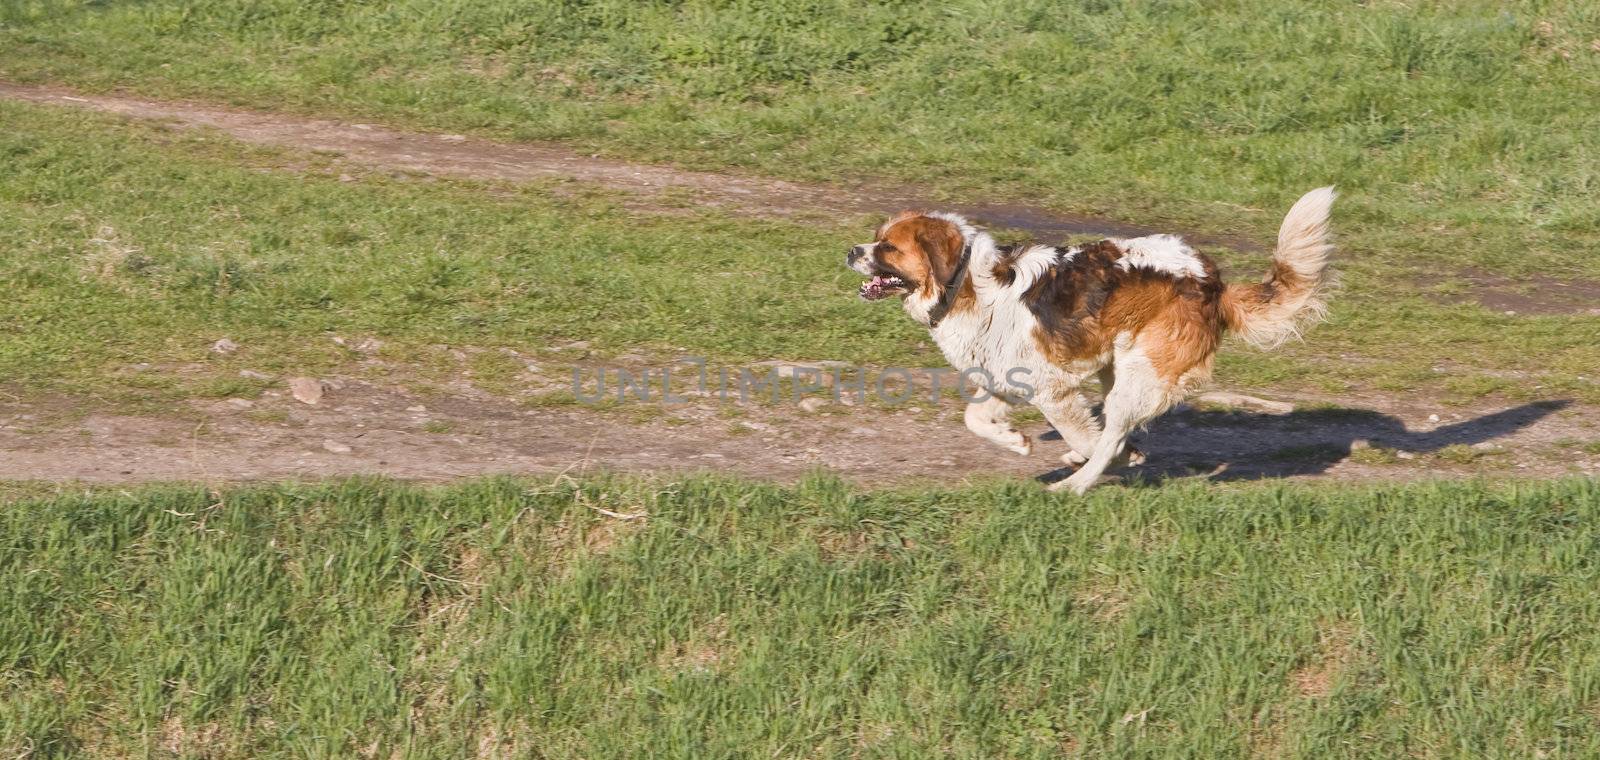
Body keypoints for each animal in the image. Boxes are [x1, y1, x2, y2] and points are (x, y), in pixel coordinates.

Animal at [851, 185, 1337, 492]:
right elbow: (976, 418)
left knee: (1109, 437)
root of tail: (1213, 283)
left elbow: (1088, 437)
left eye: (889, 248)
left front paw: (1112, 458)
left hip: (1137, 377)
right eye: (875, 239)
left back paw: (1074, 484)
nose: (853, 250)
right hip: (1117, 370)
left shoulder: (1053, 390)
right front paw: (1014, 439)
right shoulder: (1004, 378)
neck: (965, 284)